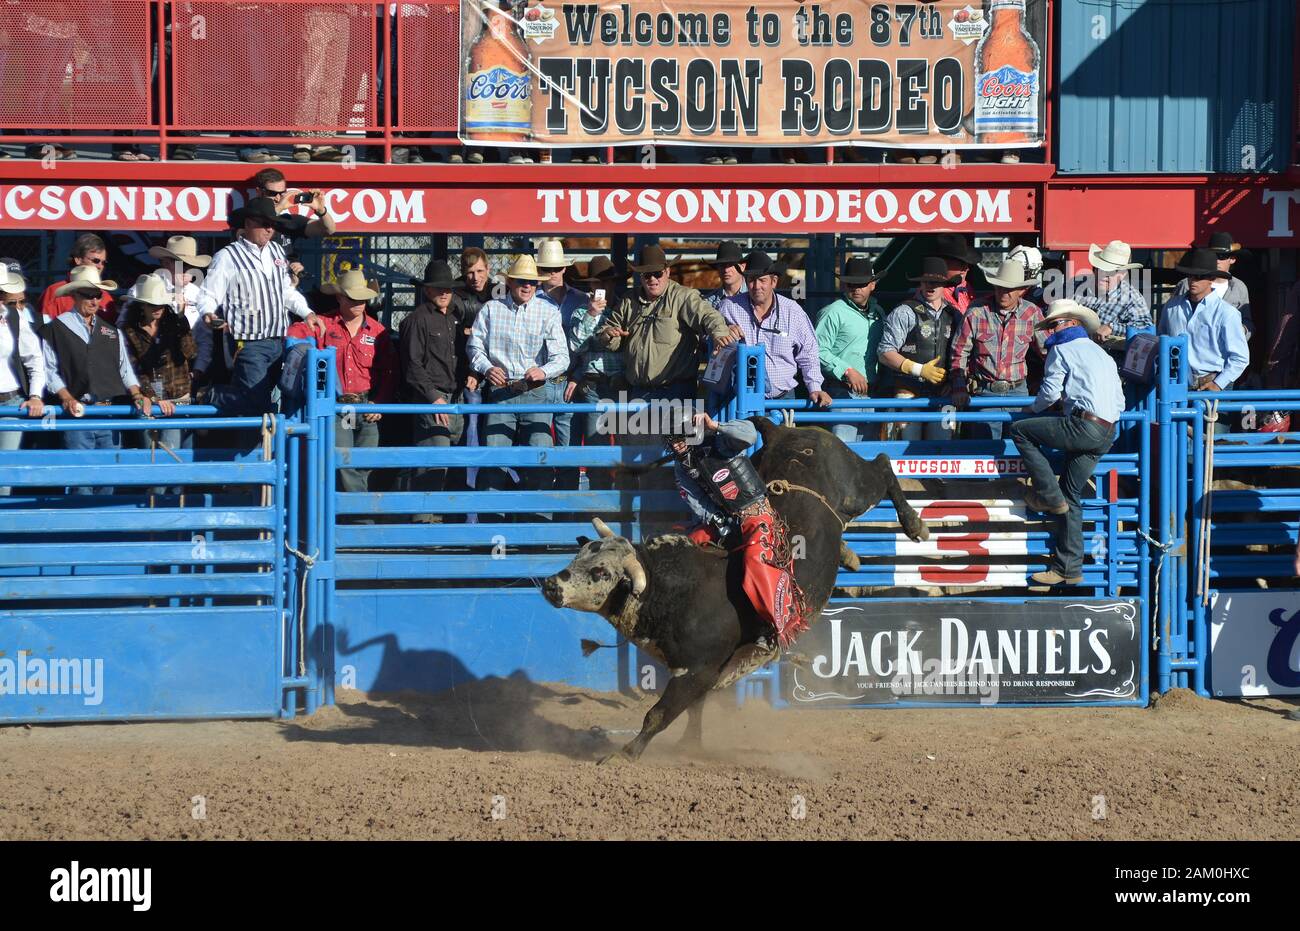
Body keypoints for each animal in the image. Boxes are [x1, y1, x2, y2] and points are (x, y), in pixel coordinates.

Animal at [543, 416, 930, 764]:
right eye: (579, 557)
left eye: (600, 572)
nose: (550, 585)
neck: (670, 588)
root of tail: (784, 431)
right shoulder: (703, 671)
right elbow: (694, 710)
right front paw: (690, 744)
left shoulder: (695, 670)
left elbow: (659, 714)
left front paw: (624, 754)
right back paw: (850, 555)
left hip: (855, 486)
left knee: (882, 465)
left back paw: (915, 525)